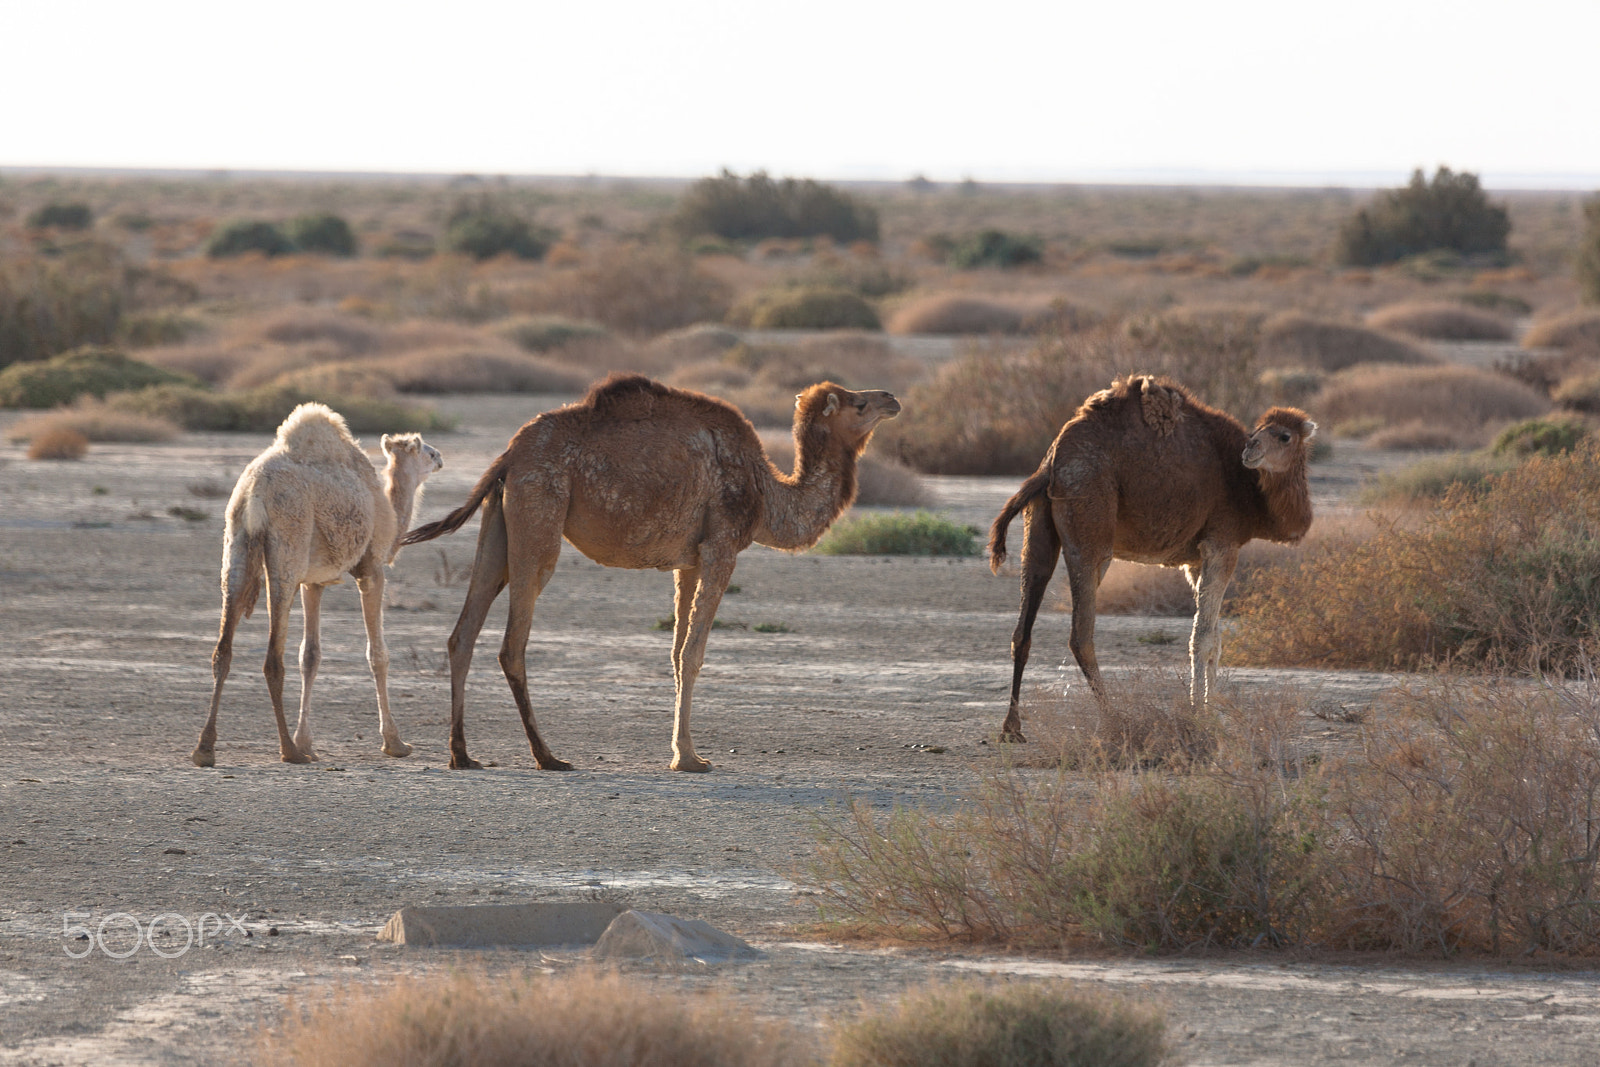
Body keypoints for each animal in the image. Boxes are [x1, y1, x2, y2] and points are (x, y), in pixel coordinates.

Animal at [191, 403, 443, 767]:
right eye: (425, 450)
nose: (440, 457)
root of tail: (253, 494)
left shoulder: (314, 583)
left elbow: (310, 655)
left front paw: (307, 741)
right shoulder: (371, 569)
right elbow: (377, 654)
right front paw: (395, 743)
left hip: (235, 545)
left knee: (222, 648)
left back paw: (205, 749)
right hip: (285, 553)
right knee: (272, 658)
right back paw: (288, 750)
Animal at [399, 372, 900, 772]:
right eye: (857, 403)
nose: (892, 398)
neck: (766, 493)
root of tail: (509, 454)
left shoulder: (690, 561)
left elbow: (677, 654)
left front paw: (683, 751)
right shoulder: (722, 547)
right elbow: (694, 654)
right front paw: (691, 759)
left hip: (499, 520)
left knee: (463, 632)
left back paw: (461, 754)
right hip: (539, 510)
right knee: (512, 644)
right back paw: (548, 756)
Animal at [987, 374, 1314, 740]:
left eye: (1284, 435)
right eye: (1260, 431)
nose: (1251, 449)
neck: (1249, 489)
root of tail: (1052, 462)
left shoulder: (1195, 559)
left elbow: (1213, 636)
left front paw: (1210, 711)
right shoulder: (1222, 543)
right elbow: (1202, 637)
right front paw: (1199, 716)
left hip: (1039, 527)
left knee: (1024, 625)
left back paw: (1011, 726)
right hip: (1089, 520)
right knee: (1081, 634)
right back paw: (1114, 719)